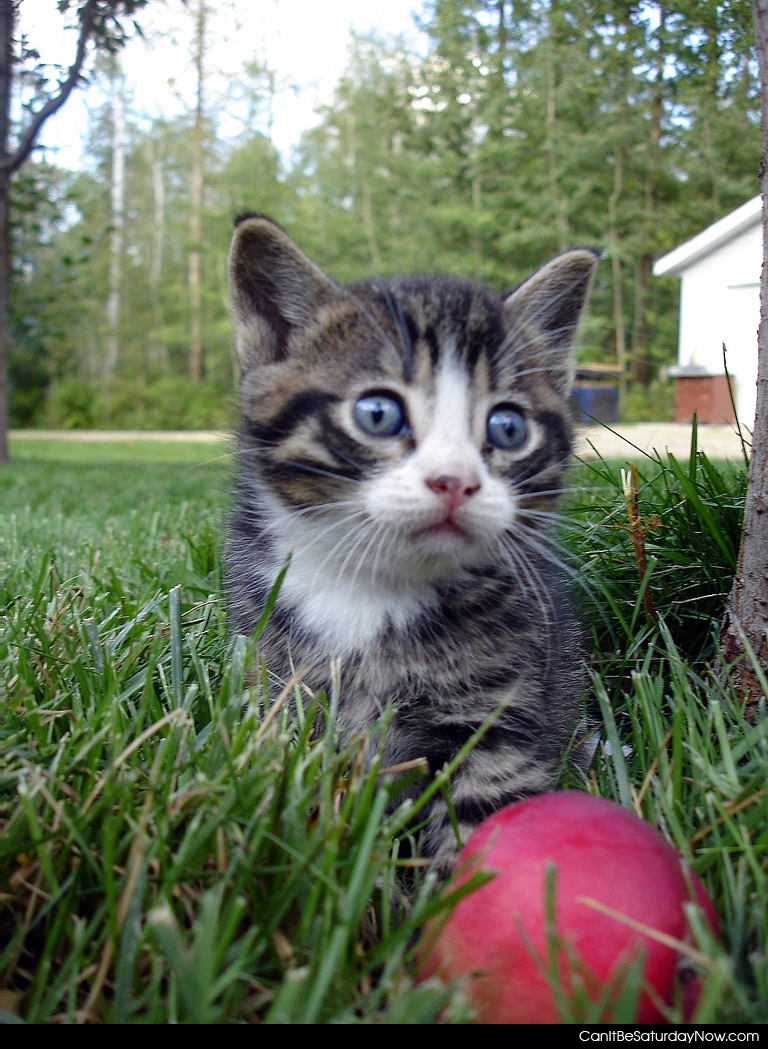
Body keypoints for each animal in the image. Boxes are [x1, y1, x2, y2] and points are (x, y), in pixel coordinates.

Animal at [227, 217, 600, 872]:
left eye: (508, 427)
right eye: (378, 414)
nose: (455, 481)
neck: (371, 587)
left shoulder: (495, 714)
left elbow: (482, 812)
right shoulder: (282, 687)